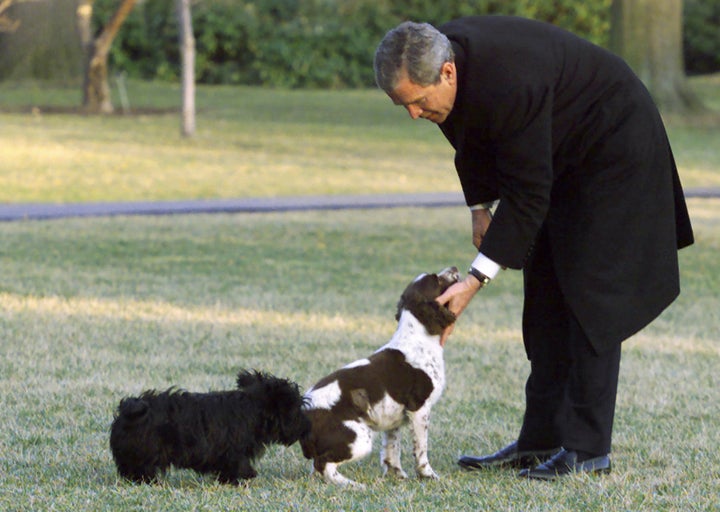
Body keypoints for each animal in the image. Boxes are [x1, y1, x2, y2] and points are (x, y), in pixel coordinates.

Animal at [109, 372, 310, 484]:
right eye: (295, 409)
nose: (306, 427)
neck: (253, 408)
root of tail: (128, 409)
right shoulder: (233, 451)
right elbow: (237, 465)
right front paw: (244, 476)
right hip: (145, 452)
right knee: (141, 469)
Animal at [300, 268, 458, 488]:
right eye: (436, 279)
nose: (455, 269)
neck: (417, 339)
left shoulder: (393, 417)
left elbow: (392, 449)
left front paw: (395, 474)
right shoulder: (419, 408)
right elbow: (421, 449)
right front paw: (428, 475)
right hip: (358, 439)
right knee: (323, 464)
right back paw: (353, 486)